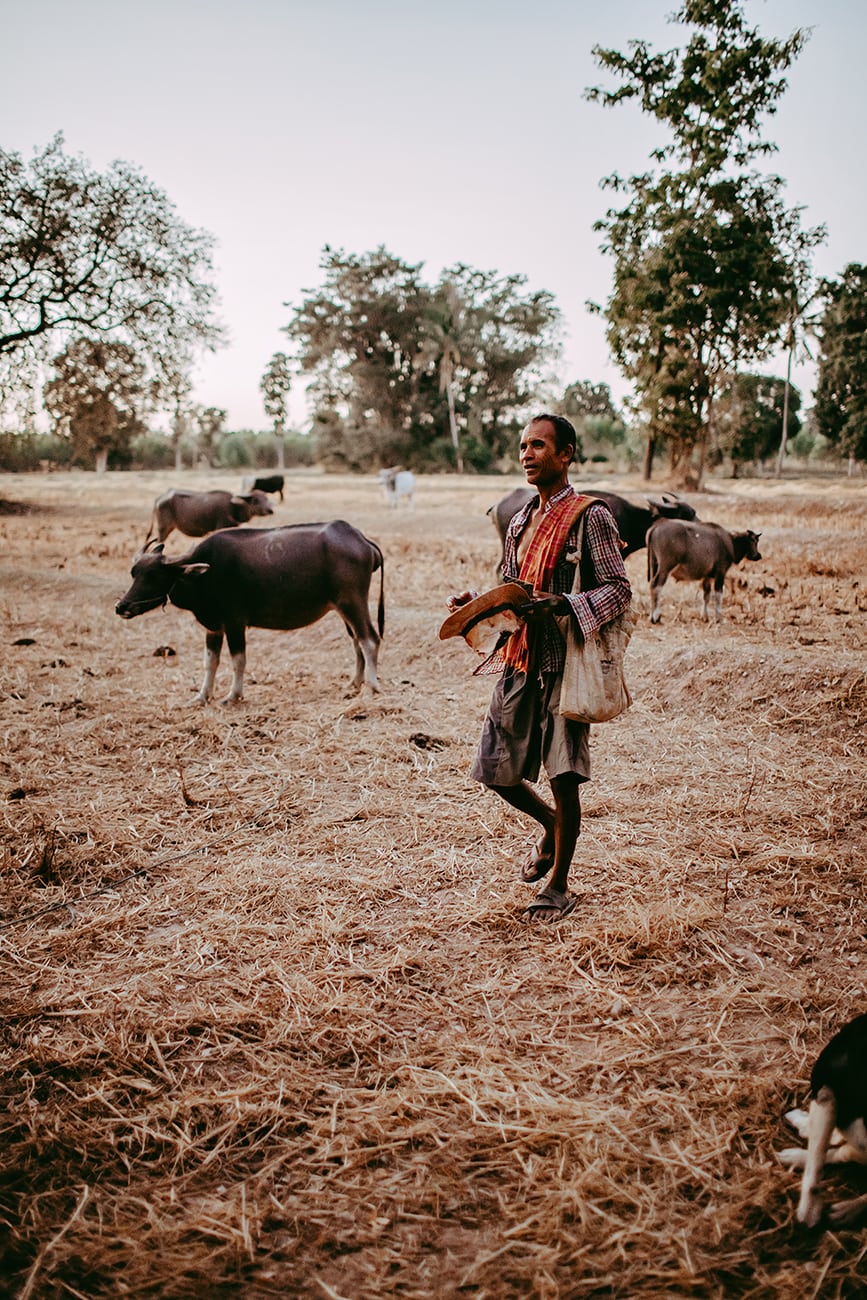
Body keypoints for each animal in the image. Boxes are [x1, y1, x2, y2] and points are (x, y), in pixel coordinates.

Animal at [114, 520, 382, 707]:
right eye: (134, 572)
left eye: (153, 576)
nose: (122, 607)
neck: (206, 574)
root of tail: (361, 540)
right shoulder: (214, 626)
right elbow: (210, 662)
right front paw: (201, 697)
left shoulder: (235, 623)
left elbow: (238, 660)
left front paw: (233, 696)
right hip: (343, 607)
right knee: (356, 640)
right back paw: (355, 683)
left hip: (353, 601)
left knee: (369, 639)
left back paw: (371, 686)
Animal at [142, 488, 271, 546]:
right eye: (255, 500)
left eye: (266, 498)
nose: (270, 510)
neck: (233, 507)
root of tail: (159, 498)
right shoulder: (221, 527)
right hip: (163, 528)